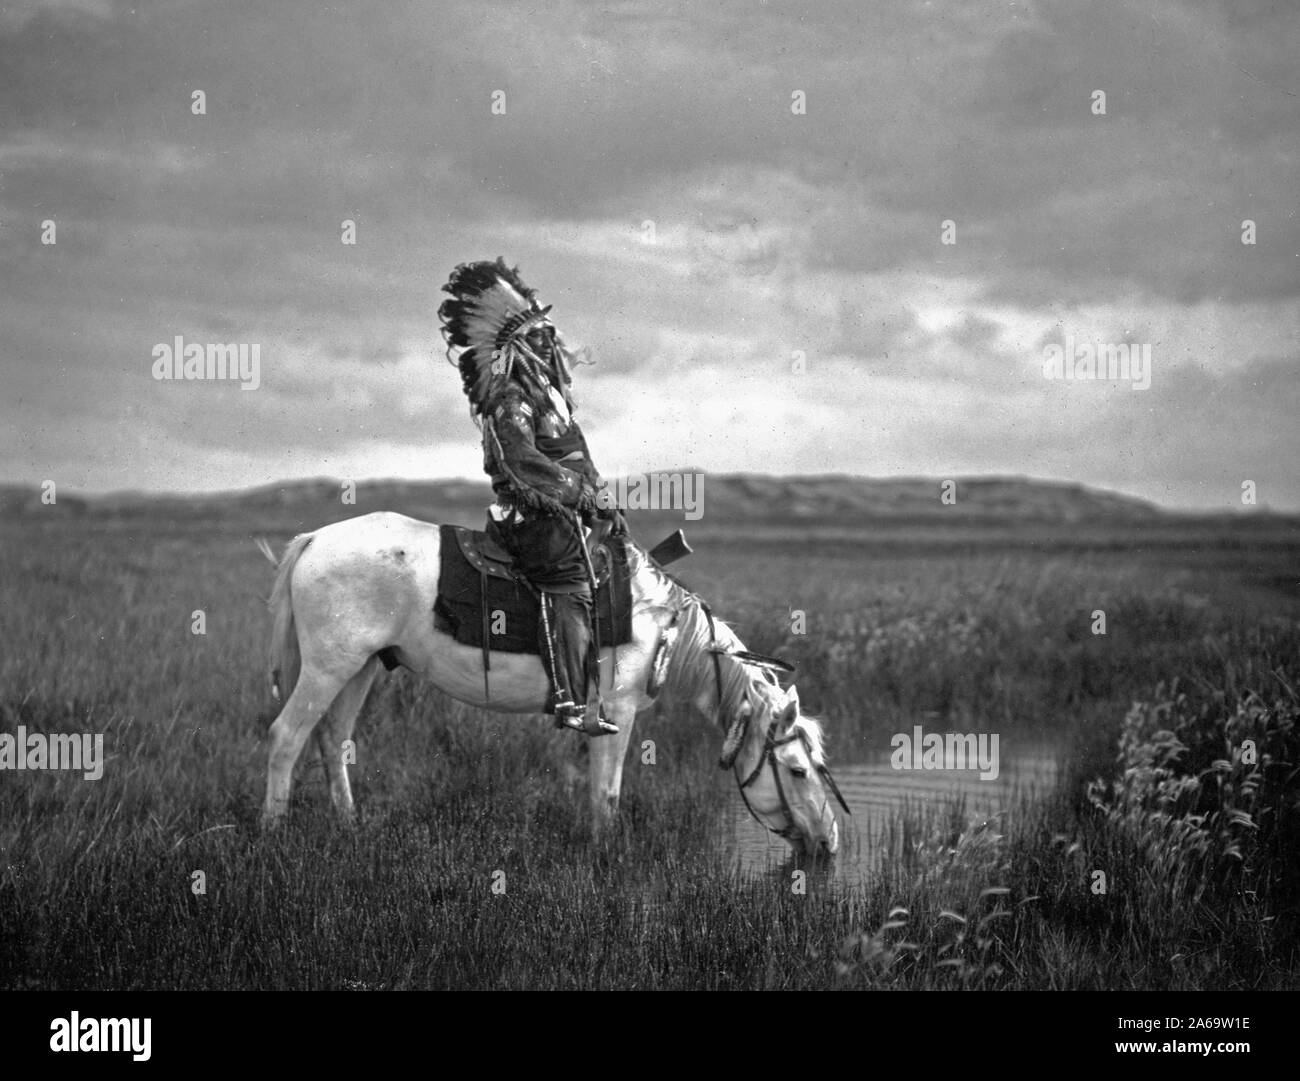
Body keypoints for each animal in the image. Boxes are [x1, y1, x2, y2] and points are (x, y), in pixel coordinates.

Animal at [258, 511, 847, 857]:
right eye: (797, 770)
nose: (829, 843)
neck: (659, 624)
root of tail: (314, 539)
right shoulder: (616, 712)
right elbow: (607, 794)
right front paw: (605, 855)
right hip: (328, 666)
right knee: (287, 737)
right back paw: (273, 834)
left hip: (358, 667)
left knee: (333, 740)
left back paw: (349, 826)